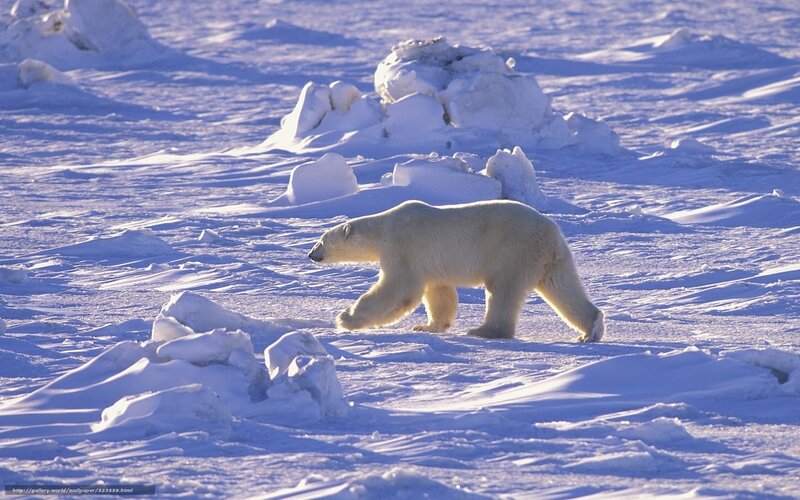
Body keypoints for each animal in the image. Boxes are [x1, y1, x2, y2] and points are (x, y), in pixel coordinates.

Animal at [308, 200, 605, 342]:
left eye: (321, 240)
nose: (311, 255)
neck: (384, 228)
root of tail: (552, 234)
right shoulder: (430, 263)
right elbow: (439, 293)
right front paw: (427, 326)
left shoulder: (403, 246)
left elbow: (399, 289)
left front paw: (345, 318)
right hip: (552, 260)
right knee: (563, 288)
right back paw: (590, 330)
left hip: (513, 251)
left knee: (503, 291)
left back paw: (483, 330)